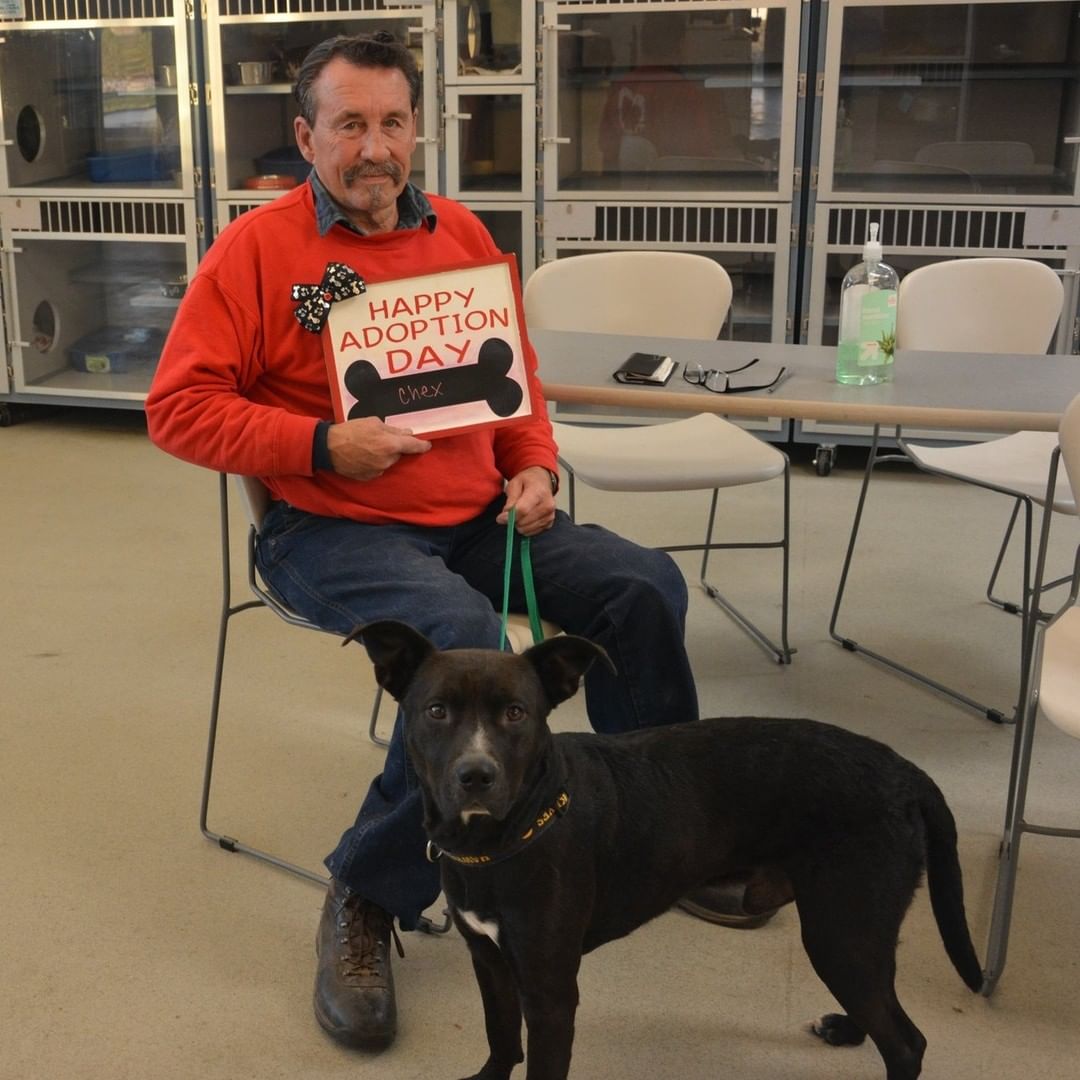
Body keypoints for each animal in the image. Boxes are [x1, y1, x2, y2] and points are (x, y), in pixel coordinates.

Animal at [349, 622, 984, 1080]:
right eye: (436, 710)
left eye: (516, 713)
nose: (476, 775)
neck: (502, 840)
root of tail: (905, 772)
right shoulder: (490, 959)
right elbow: (501, 1040)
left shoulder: (551, 993)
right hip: (851, 930)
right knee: (881, 1005)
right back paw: (848, 1029)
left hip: (841, 926)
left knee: (906, 1042)